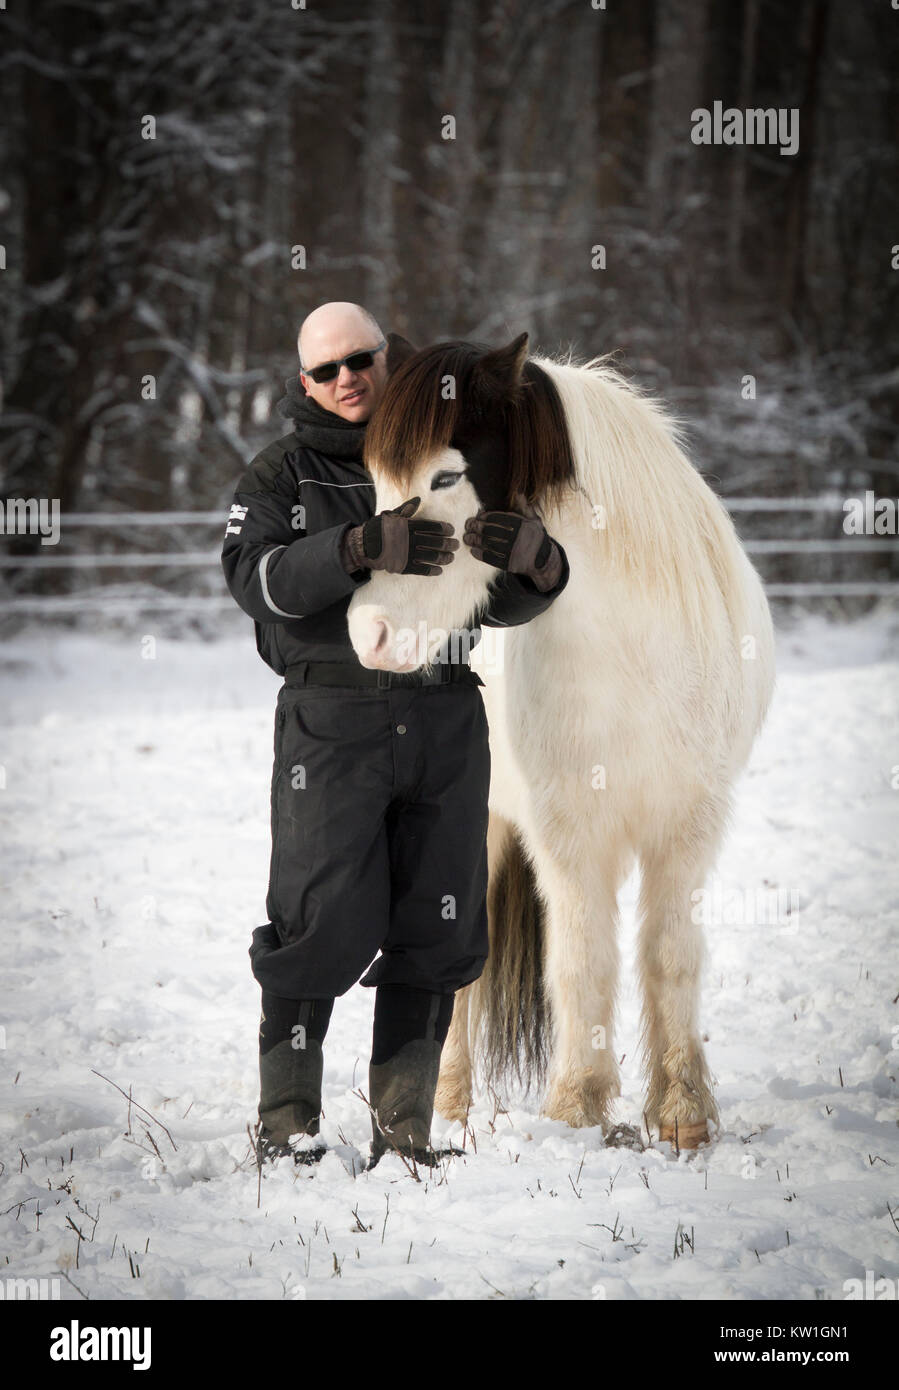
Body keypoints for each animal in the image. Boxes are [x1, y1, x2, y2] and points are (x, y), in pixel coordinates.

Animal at [346, 332, 775, 1149]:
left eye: (446, 474)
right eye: (377, 480)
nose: (369, 634)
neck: (634, 660)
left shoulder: (690, 827)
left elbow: (670, 957)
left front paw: (682, 1115)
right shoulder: (569, 835)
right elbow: (583, 961)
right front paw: (578, 1106)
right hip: (481, 824)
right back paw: (448, 1106)